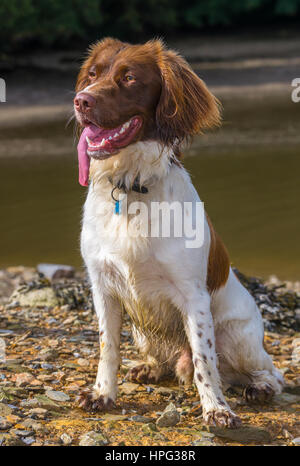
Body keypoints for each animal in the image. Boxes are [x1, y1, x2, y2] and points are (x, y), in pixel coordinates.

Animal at [73, 38, 284, 428]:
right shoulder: (103, 286)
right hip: (143, 332)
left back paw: (259, 388)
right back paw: (151, 368)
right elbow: (108, 347)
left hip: (239, 337)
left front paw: (216, 409)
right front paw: (102, 394)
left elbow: (203, 358)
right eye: (92, 74)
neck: (131, 187)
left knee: (270, 373)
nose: (81, 100)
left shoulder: (193, 296)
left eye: (129, 77)